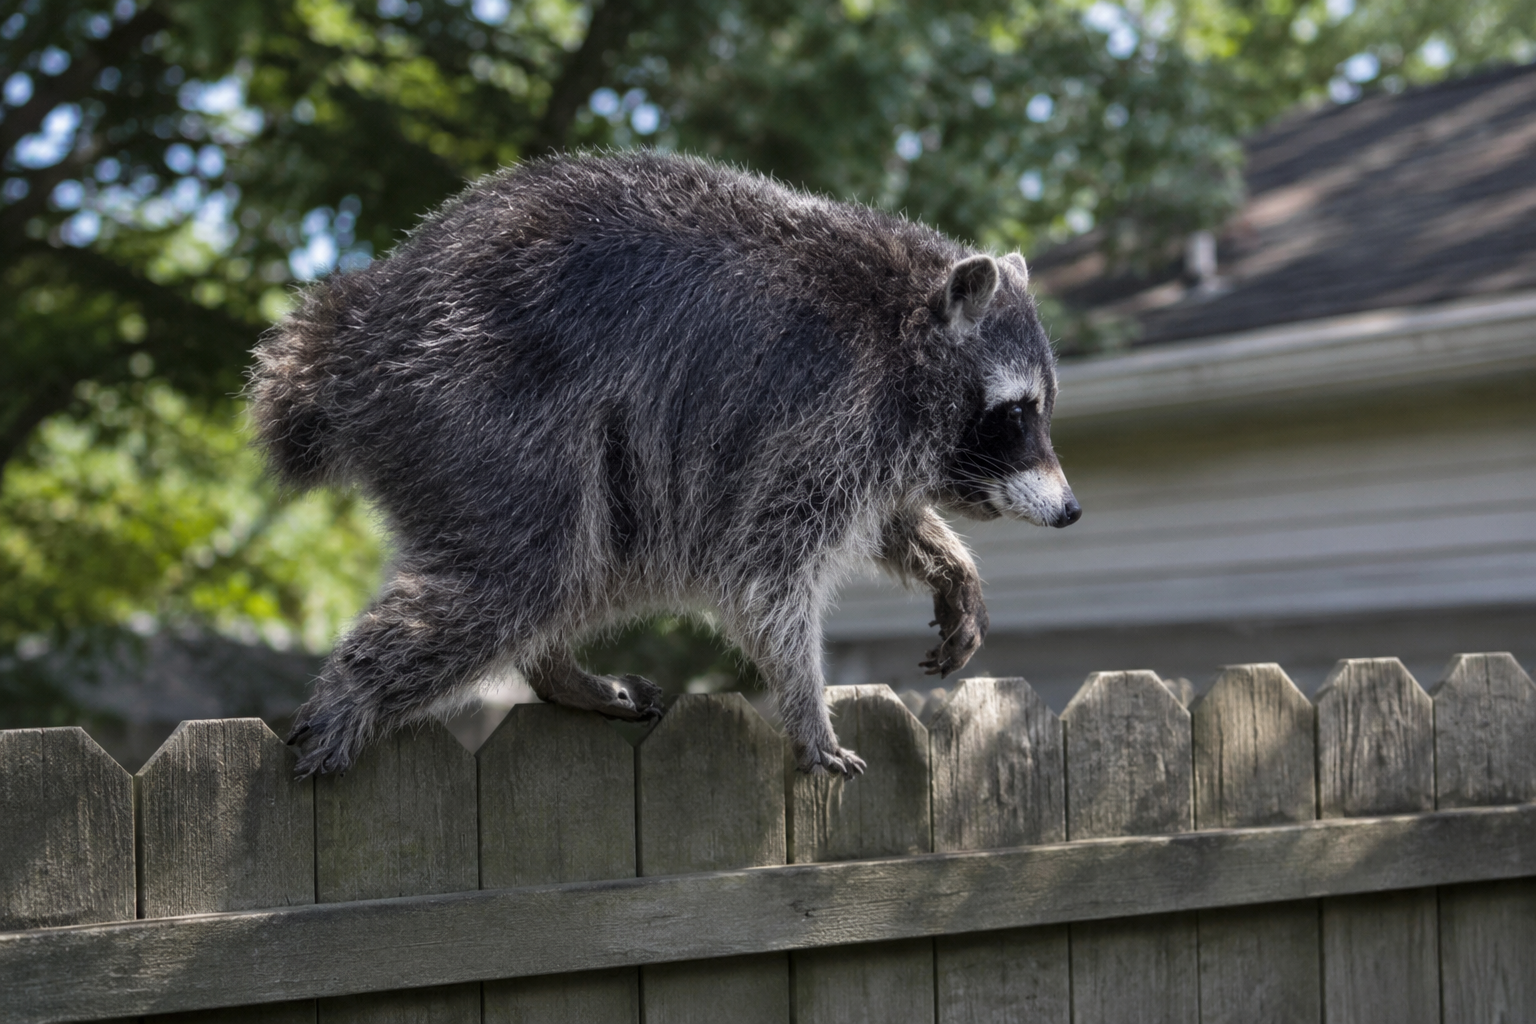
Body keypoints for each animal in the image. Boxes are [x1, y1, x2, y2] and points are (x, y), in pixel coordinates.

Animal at [249, 152, 1079, 779]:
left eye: (1039, 409)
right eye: (1015, 414)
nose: (1072, 511)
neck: (909, 320)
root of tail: (363, 321)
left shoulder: (864, 442)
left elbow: (883, 522)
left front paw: (949, 566)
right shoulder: (826, 412)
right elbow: (764, 572)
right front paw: (806, 706)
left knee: (589, 557)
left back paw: (555, 670)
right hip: (477, 407)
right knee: (522, 568)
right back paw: (356, 695)